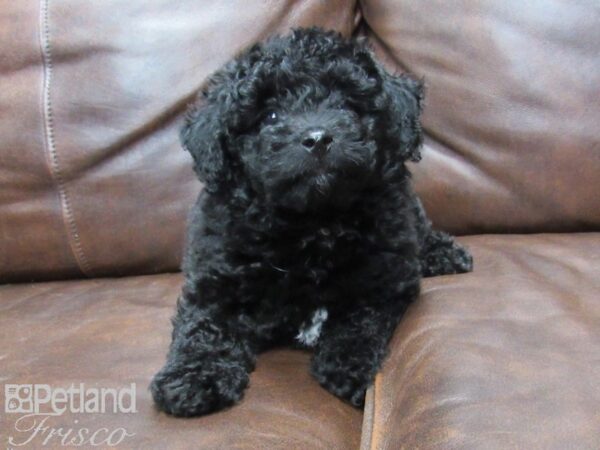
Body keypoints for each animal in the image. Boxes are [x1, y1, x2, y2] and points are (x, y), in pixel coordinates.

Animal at [151, 28, 474, 416]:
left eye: (347, 104)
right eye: (271, 116)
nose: (317, 138)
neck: (313, 222)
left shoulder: (386, 275)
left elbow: (360, 317)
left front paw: (347, 366)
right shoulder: (216, 279)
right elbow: (204, 326)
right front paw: (193, 378)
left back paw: (445, 254)